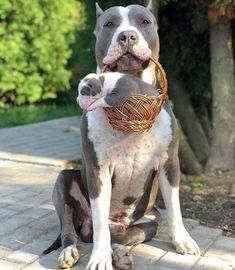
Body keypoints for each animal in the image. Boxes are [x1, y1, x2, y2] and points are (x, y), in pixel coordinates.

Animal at [43, 1, 199, 268]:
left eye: (144, 22)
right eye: (109, 24)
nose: (127, 36)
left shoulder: (169, 162)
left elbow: (175, 206)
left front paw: (183, 240)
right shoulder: (98, 170)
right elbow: (99, 224)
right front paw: (99, 258)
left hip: (149, 220)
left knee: (126, 235)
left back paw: (120, 253)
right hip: (64, 181)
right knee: (72, 229)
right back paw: (70, 251)